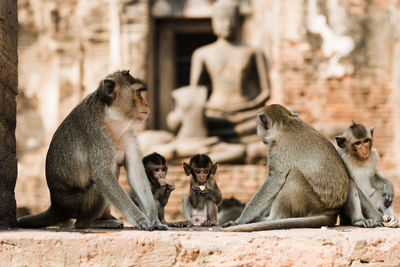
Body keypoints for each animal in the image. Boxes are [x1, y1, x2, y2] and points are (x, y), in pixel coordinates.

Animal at [16, 70, 167, 230]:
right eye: (138, 92)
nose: (146, 104)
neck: (113, 119)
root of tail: (56, 206)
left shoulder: (129, 134)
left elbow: (136, 174)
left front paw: (155, 220)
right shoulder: (98, 135)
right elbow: (102, 175)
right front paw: (140, 219)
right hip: (75, 204)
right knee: (96, 190)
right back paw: (91, 222)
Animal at [222, 104, 354, 232]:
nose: (257, 131)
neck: (285, 123)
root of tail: (333, 212)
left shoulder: (277, 150)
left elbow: (275, 180)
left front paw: (239, 220)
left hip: (312, 203)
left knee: (294, 175)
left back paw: (270, 219)